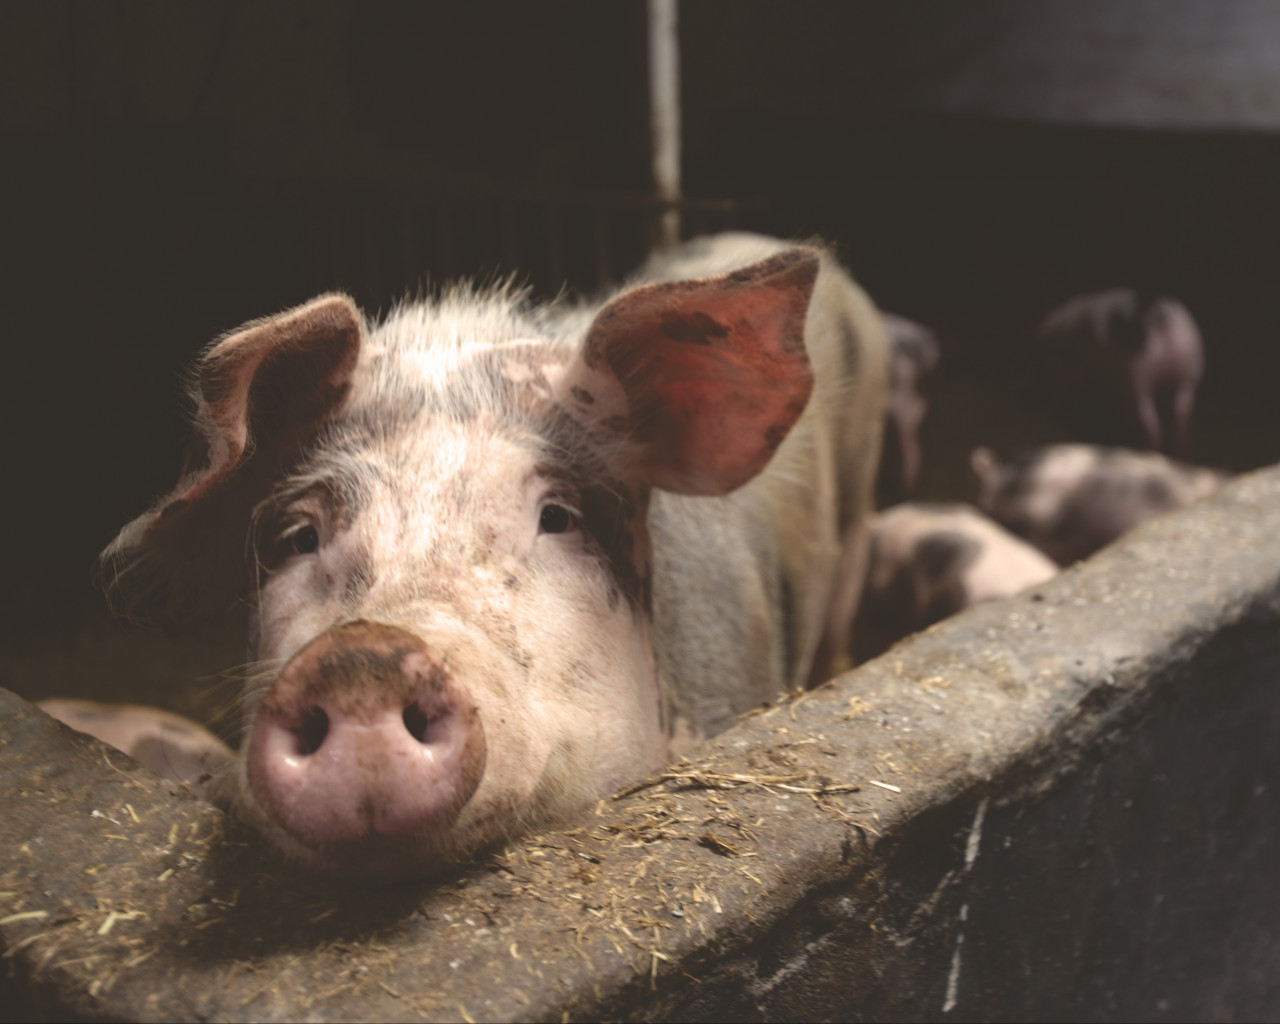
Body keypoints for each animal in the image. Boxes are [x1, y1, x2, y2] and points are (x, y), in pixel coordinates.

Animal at [1037, 288, 1204, 452]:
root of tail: (1155, 310)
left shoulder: (1064, 367)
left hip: (1135, 376)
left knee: (1147, 418)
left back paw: (1149, 448)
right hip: (1184, 373)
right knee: (1181, 411)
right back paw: (1178, 447)